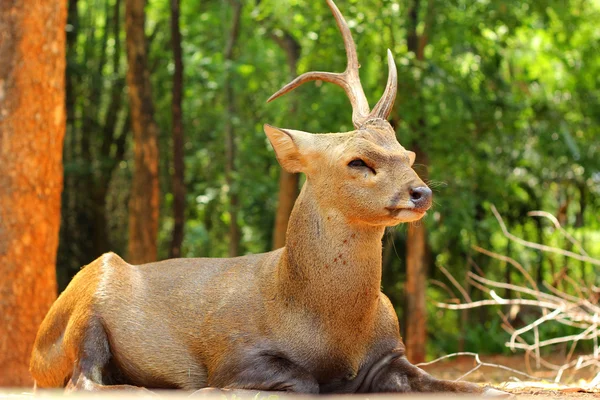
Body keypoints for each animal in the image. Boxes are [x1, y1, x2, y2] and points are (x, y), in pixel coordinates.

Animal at [29, 0, 506, 394]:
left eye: (408, 155)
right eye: (357, 161)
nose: (420, 192)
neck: (334, 329)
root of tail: (35, 357)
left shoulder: (392, 353)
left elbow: (468, 384)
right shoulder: (236, 352)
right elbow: (304, 381)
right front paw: (211, 388)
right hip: (87, 299)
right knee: (82, 379)